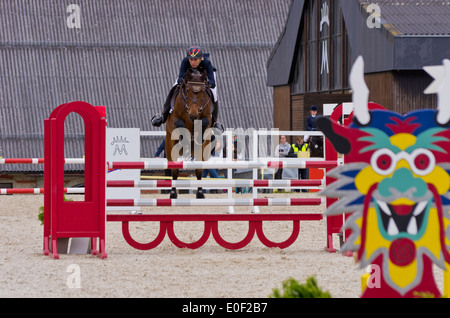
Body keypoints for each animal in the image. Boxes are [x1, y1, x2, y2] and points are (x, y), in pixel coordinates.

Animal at [165, 69, 214, 199]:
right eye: (187, 90)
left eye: (202, 91)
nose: (193, 114)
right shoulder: (174, 119)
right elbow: (180, 123)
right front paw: (185, 138)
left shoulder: (207, 118)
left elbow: (205, 122)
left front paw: (198, 137)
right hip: (170, 147)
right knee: (175, 170)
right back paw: (173, 193)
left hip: (202, 152)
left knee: (199, 170)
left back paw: (200, 193)